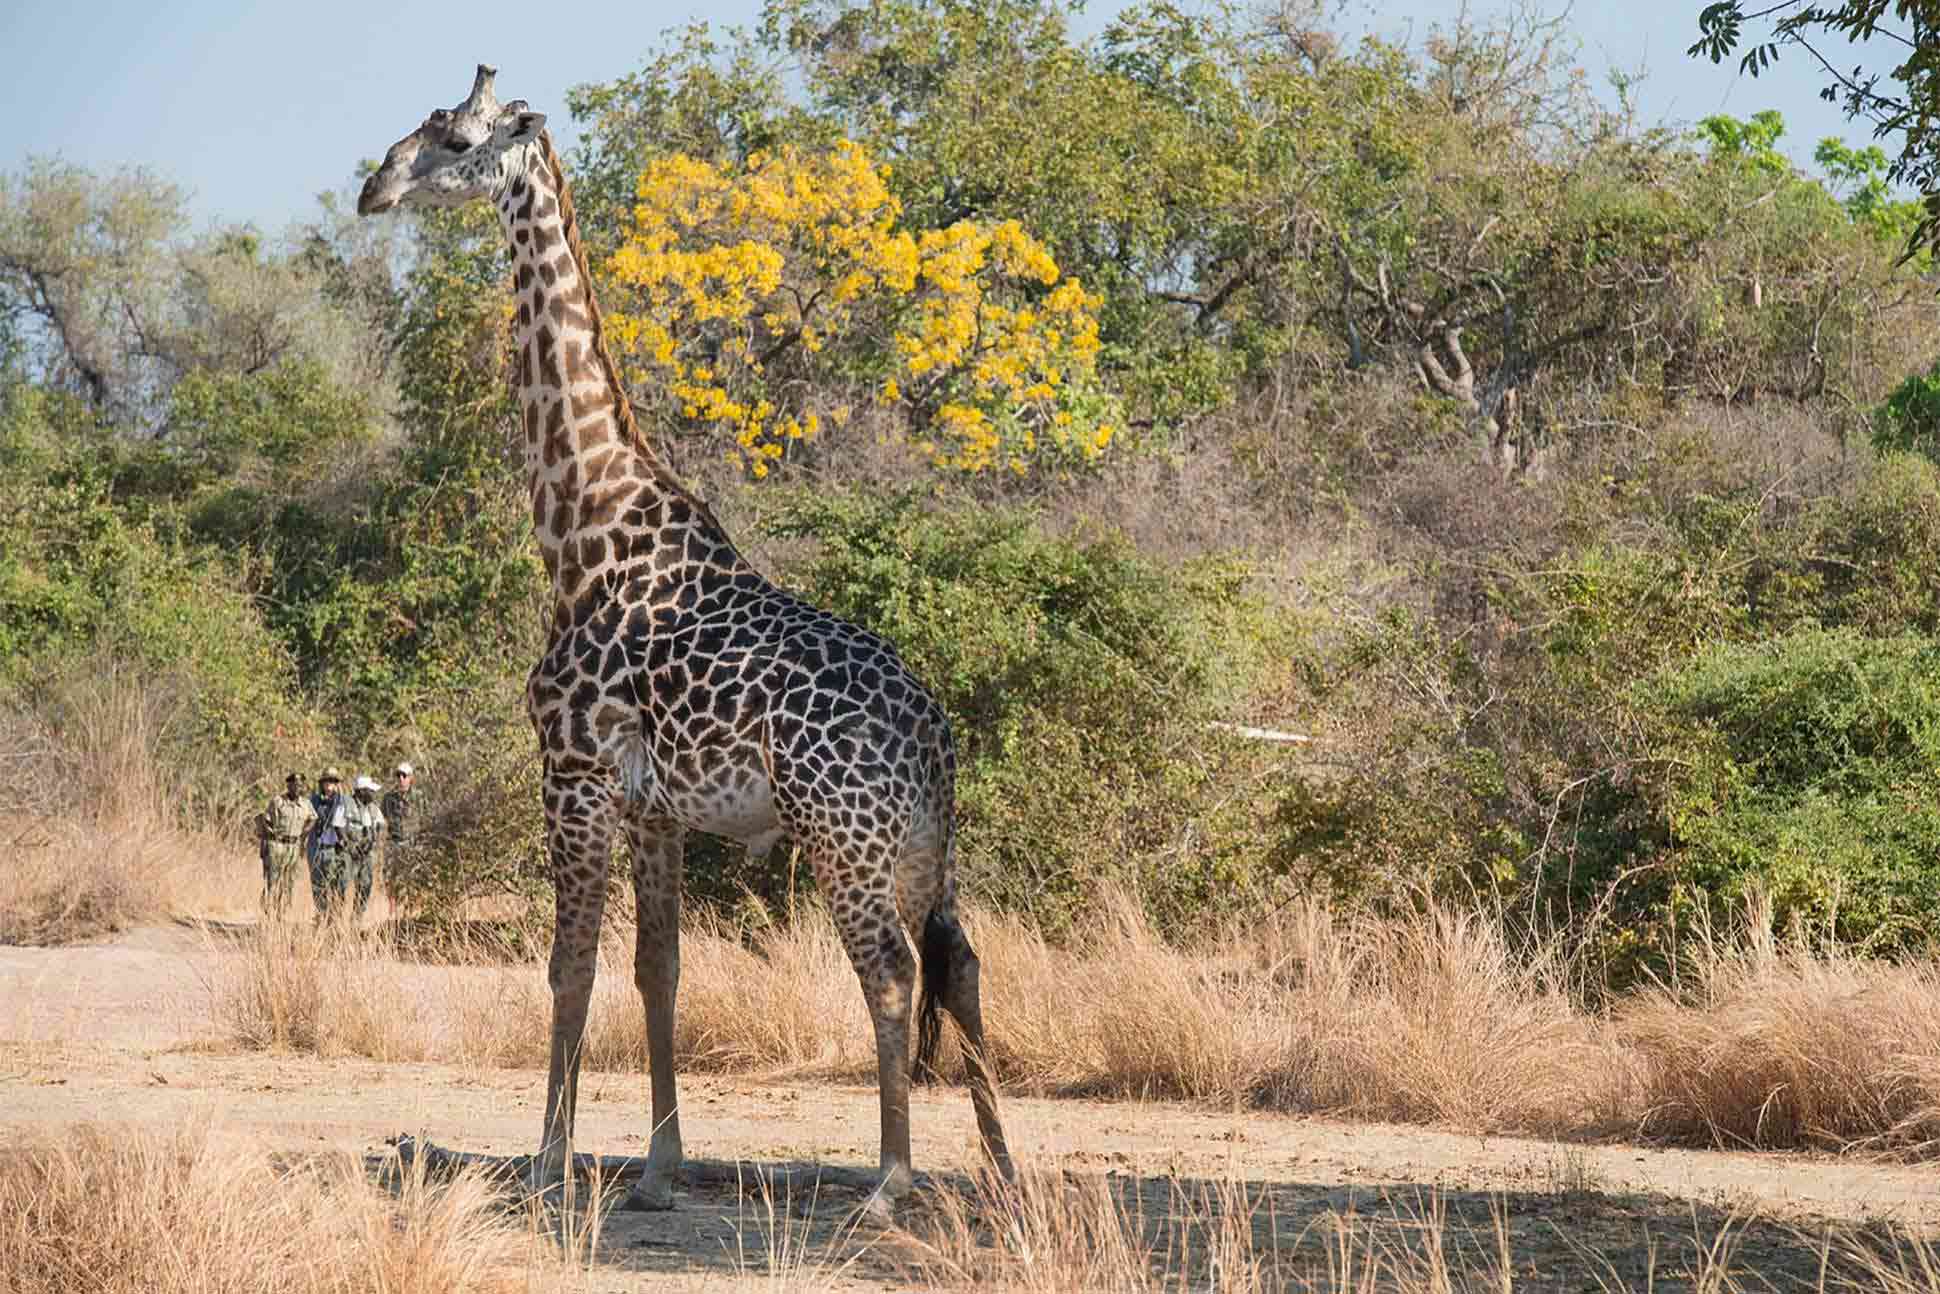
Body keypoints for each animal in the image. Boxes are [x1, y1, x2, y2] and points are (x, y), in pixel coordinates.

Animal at [356, 63, 1016, 1218]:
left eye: (455, 140)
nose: (373, 187)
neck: (580, 526)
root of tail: (936, 739)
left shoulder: (571, 775)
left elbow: (569, 965)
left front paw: (548, 1160)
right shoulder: (654, 805)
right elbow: (657, 968)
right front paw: (661, 1167)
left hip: (842, 838)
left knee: (890, 972)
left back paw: (890, 1179)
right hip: (925, 846)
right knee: (961, 962)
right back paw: (999, 1167)